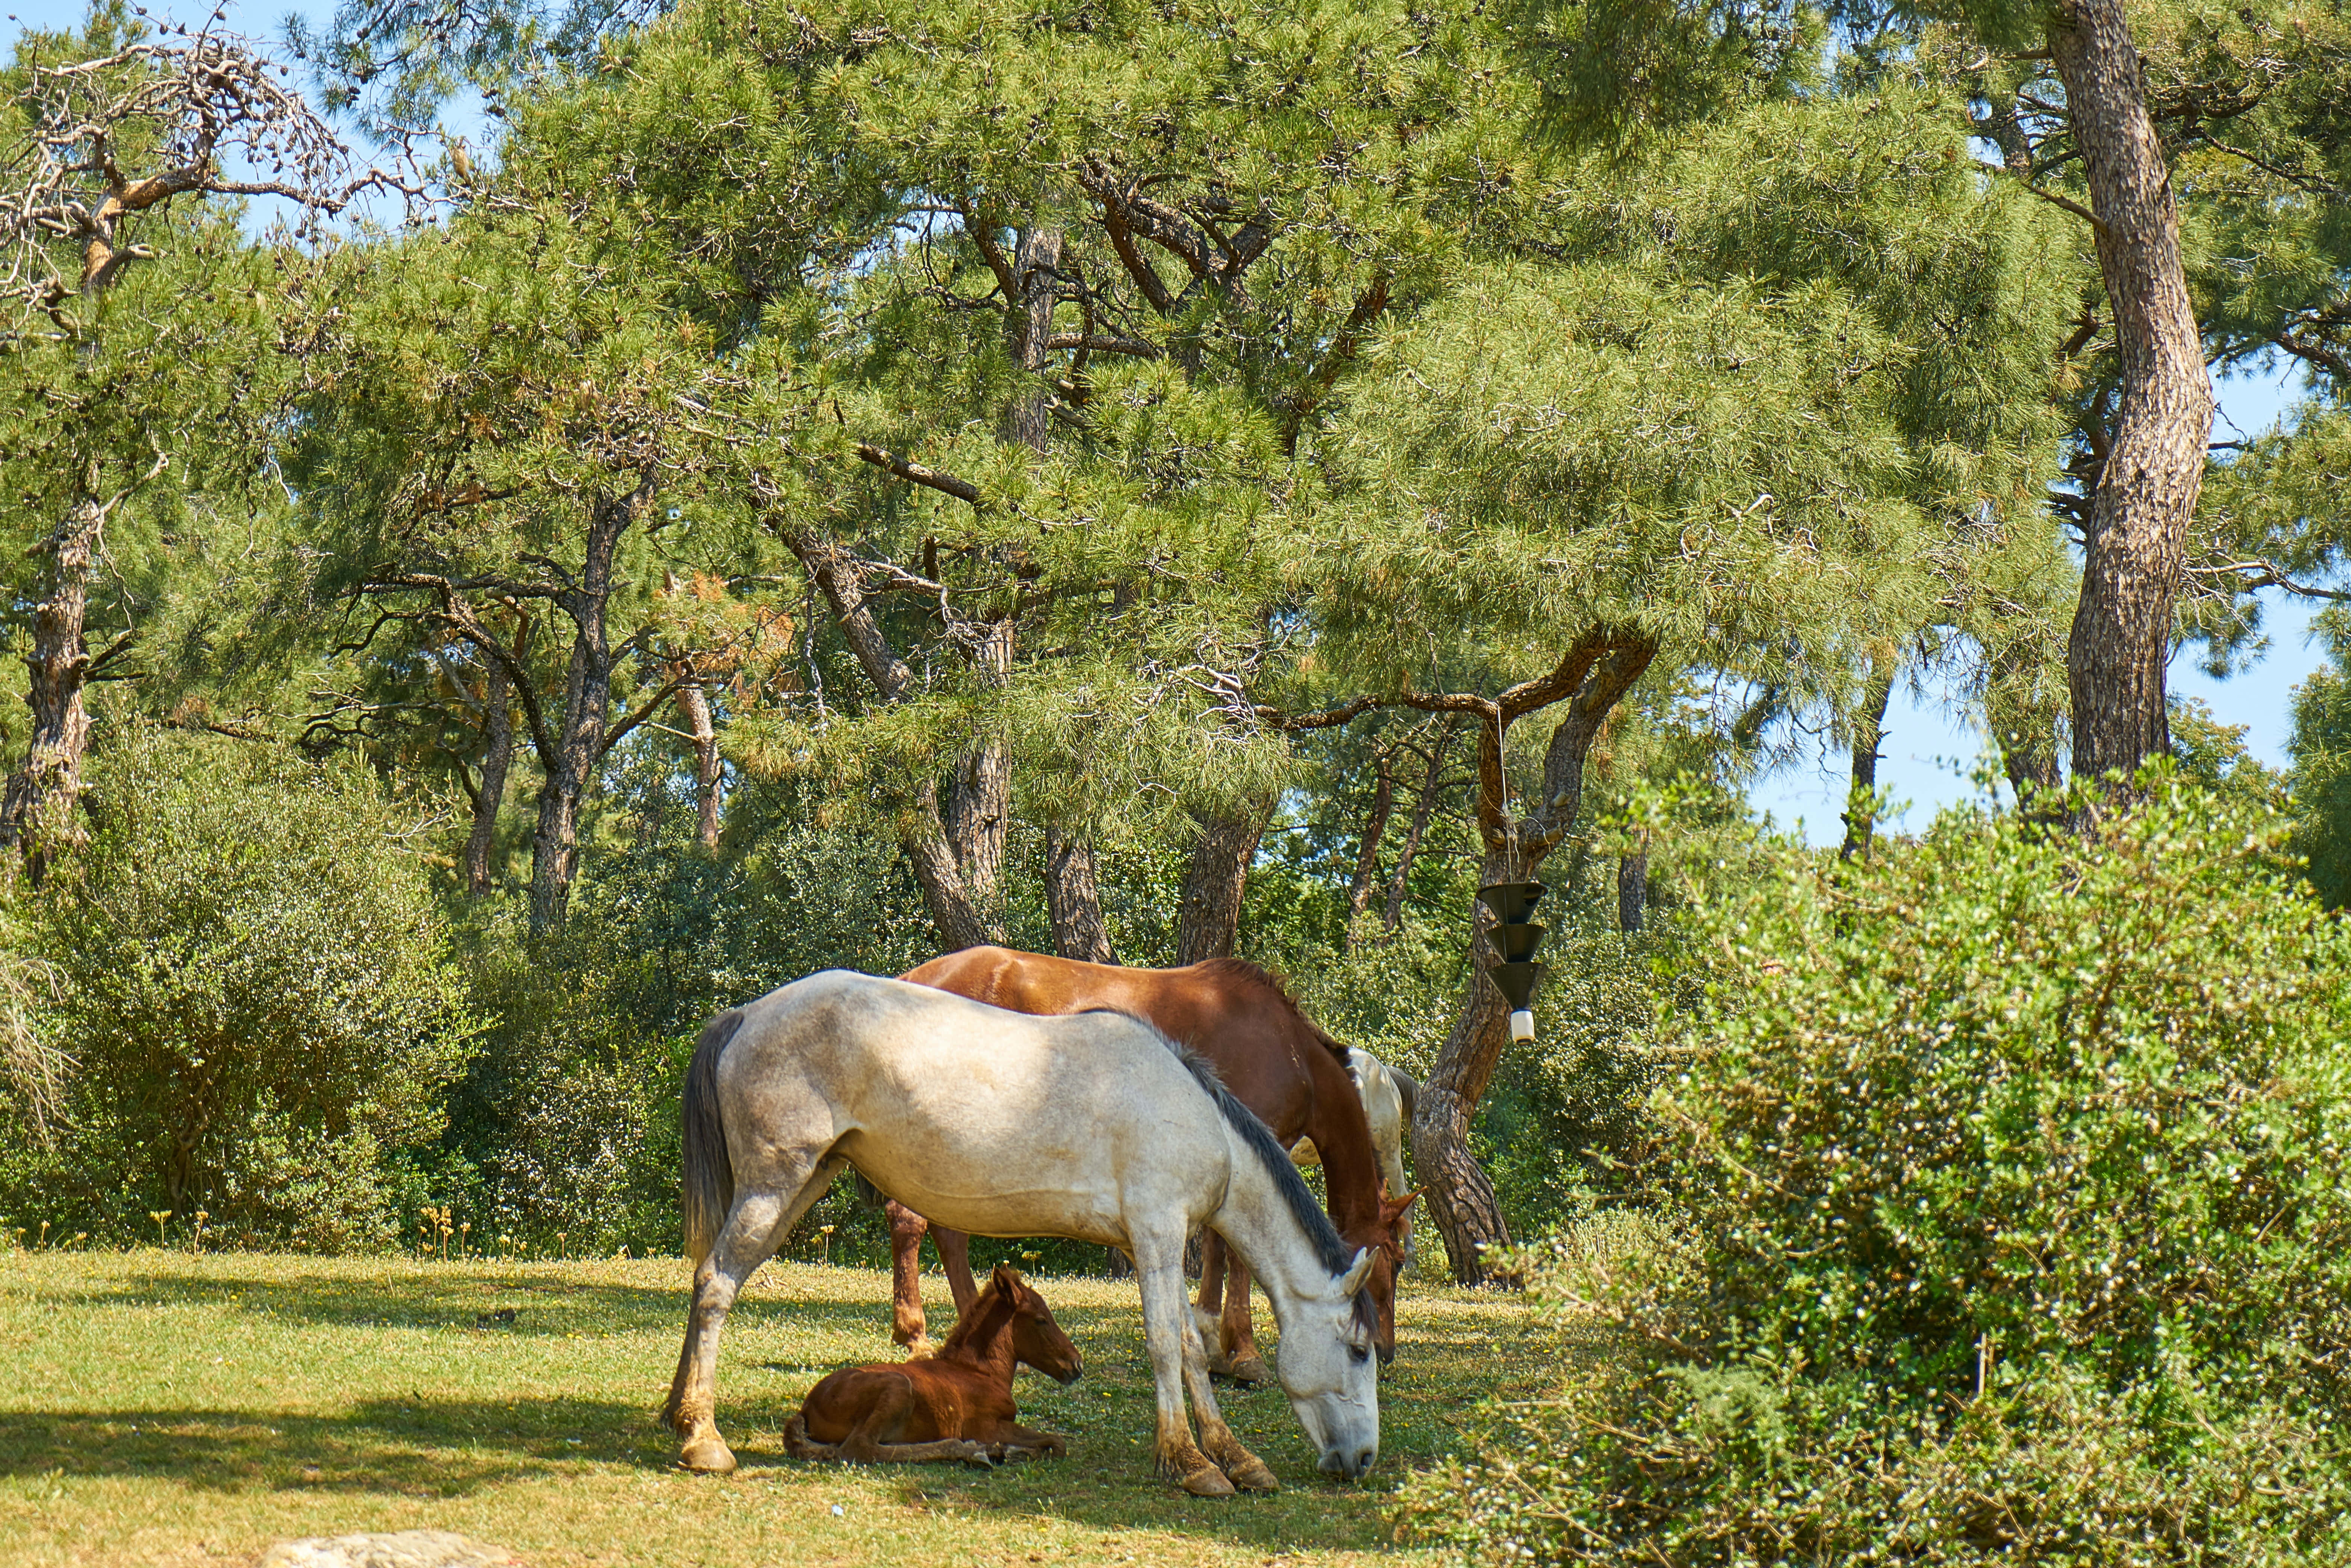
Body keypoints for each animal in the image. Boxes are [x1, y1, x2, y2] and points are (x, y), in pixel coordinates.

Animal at [784, 1264, 1080, 1468]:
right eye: (1041, 1320)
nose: (1076, 1364)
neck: (980, 1372)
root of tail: (808, 1406)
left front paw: (1009, 1451)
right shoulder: (986, 1426)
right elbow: (1057, 1442)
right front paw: (1003, 1450)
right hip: (898, 1386)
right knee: (859, 1448)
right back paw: (969, 1451)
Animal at [888, 948, 1416, 1386]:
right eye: (1394, 1260)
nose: (1385, 1350)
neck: (1290, 1051)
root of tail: (913, 978)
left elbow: (1220, 1248)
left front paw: (1215, 1343)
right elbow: (1236, 1252)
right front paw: (1244, 1353)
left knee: (942, 1226)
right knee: (913, 1221)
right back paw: (918, 1332)